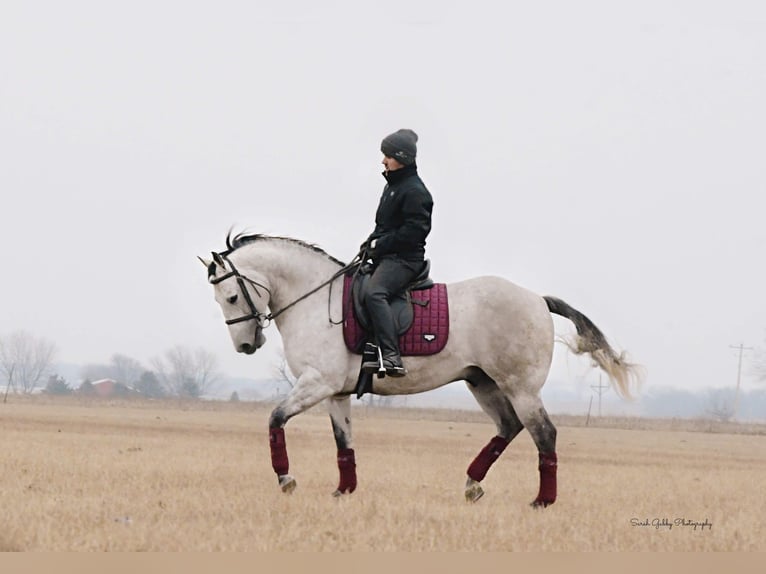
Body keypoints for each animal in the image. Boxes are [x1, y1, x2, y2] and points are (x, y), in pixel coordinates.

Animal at [202, 232, 640, 506]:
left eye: (231, 296)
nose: (245, 346)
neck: (314, 301)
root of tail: (537, 299)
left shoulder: (316, 384)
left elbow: (275, 419)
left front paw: (286, 480)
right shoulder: (335, 392)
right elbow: (344, 443)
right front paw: (344, 492)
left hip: (521, 388)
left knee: (543, 434)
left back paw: (542, 500)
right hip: (483, 383)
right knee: (508, 426)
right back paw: (472, 484)